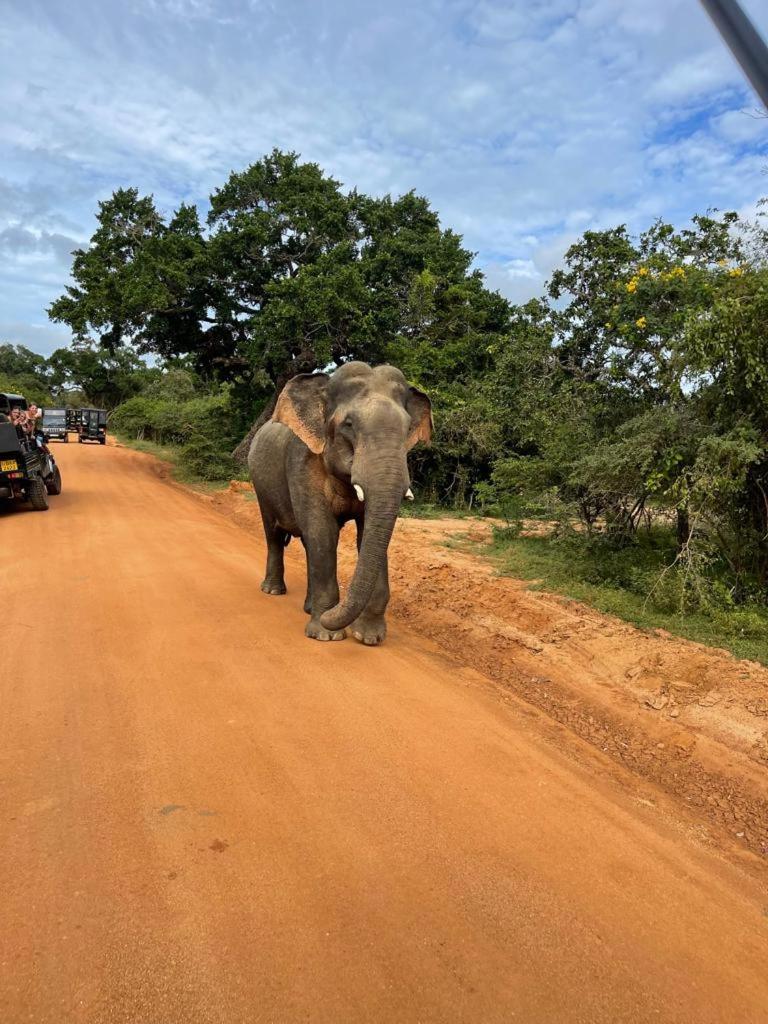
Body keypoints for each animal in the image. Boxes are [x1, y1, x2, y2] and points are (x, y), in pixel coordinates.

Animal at [250, 364, 434, 643]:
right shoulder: (302, 461)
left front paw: (368, 637)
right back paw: (273, 591)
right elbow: (322, 532)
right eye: (349, 424)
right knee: (274, 534)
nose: (333, 617)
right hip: (261, 486)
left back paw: (308, 608)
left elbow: (366, 535)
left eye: (407, 428)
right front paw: (326, 634)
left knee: (306, 543)